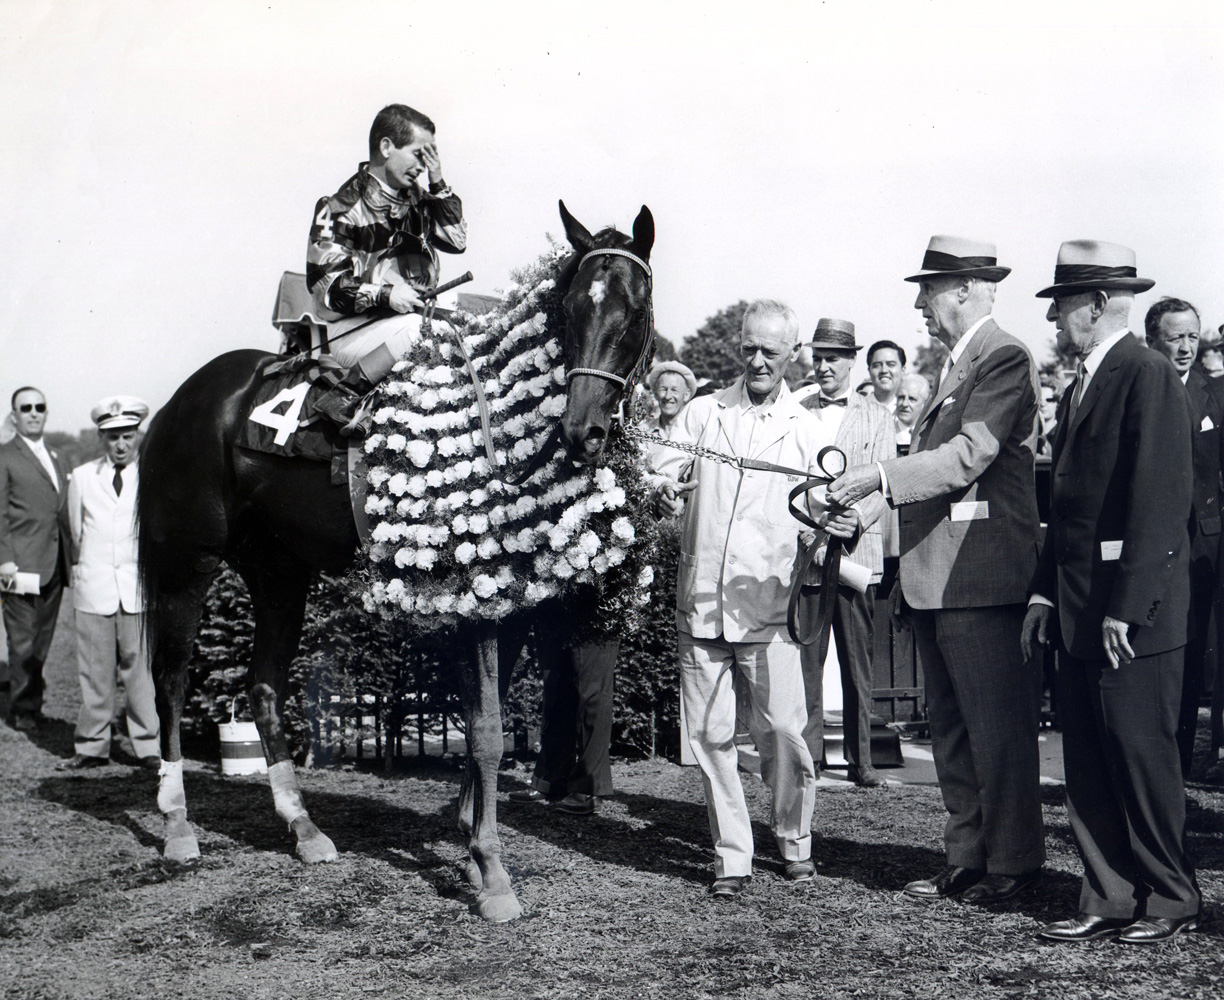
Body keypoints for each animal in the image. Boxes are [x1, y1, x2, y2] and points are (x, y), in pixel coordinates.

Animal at [137, 200, 656, 920]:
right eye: (572, 307)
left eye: (633, 312)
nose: (584, 431)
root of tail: (176, 406)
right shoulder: (473, 600)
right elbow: (487, 730)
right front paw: (491, 870)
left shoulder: (514, 599)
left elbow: (487, 725)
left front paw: (468, 843)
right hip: (187, 563)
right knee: (170, 680)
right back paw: (179, 825)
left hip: (277, 573)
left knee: (264, 685)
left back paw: (304, 828)